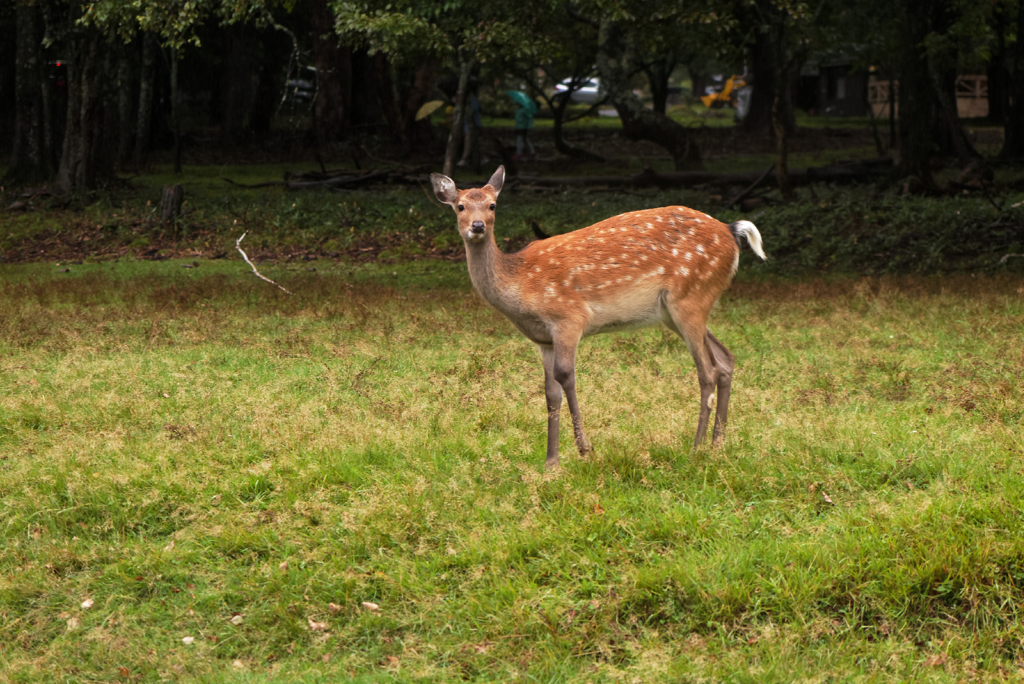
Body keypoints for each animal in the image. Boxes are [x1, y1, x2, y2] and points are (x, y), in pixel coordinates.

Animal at [428, 163, 765, 471]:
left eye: (492, 205)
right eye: (460, 205)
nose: (477, 226)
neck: (520, 286)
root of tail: (732, 232)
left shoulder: (568, 317)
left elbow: (566, 376)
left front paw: (584, 450)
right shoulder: (542, 339)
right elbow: (550, 392)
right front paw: (551, 463)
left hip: (691, 296)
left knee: (707, 370)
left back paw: (696, 448)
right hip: (677, 310)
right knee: (725, 359)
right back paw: (718, 445)